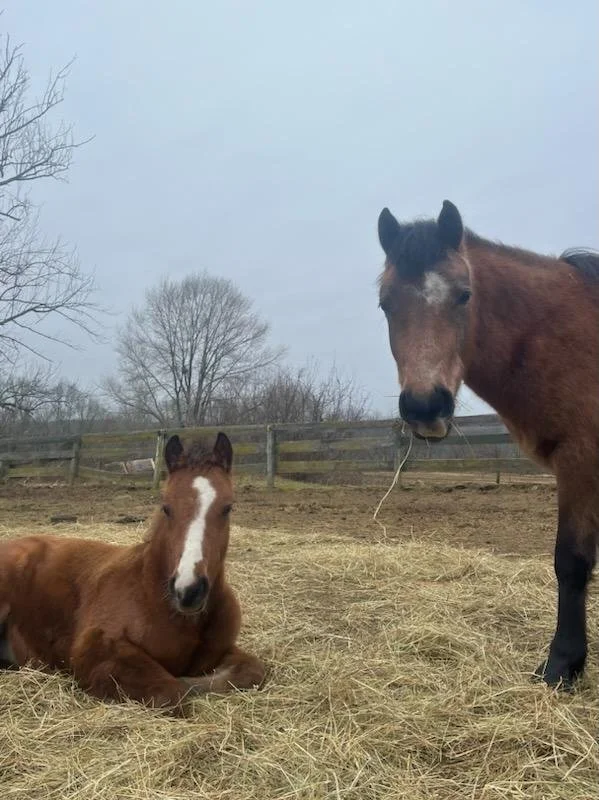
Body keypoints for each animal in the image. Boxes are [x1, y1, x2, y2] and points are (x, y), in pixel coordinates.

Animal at [0, 432, 265, 709]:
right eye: (166, 507)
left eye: (227, 508)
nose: (188, 590)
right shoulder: (95, 650)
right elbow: (172, 691)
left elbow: (253, 669)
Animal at [376, 200, 598, 690]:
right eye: (385, 303)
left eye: (464, 295)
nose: (425, 405)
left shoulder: (581, 461)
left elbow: (571, 562)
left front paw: (562, 665)